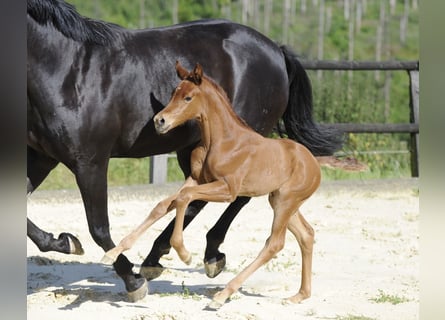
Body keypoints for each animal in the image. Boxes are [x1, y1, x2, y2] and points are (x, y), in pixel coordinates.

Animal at [103, 61, 320, 308]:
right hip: (280, 201)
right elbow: (163, 205)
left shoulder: (227, 189)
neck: (220, 141)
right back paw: (300, 294)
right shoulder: (196, 179)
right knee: (306, 234)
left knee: (274, 243)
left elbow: (185, 197)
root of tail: (315, 163)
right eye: (173, 93)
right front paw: (112, 252)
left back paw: (223, 294)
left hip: (285, 202)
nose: (160, 121)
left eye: (188, 97)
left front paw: (184, 253)